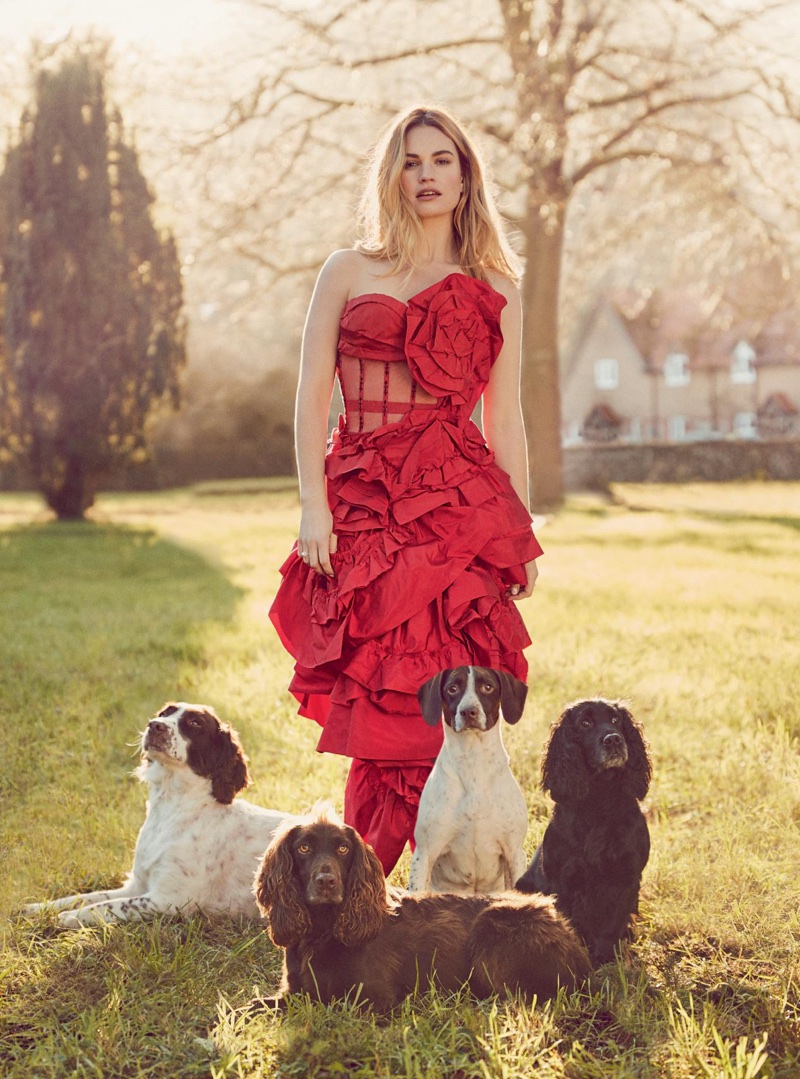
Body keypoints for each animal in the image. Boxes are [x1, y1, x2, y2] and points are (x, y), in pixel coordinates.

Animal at [23, 699, 295, 927]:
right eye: (164, 713)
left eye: (195, 723)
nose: (155, 726)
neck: (171, 809)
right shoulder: (137, 884)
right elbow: (87, 896)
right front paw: (39, 907)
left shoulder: (169, 898)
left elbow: (108, 906)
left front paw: (70, 917)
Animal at [252, 811, 591, 1009]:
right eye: (304, 848)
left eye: (343, 849)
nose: (326, 882)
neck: (323, 929)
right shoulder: (292, 992)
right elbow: (252, 1006)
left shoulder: (374, 1001)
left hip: (493, 928)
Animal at [405, 664, 531, 893]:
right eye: (452, 688)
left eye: (488, 687)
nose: (468, 711)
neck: (473, 764)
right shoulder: (425, 853)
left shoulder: (514, 853)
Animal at [513, 703, 652, 966]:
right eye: (585, 723)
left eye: (616, 720)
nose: (613, 739)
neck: (599, 799)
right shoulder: (562, 879)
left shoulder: (626, 876)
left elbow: (612, 924)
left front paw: (605, 958)